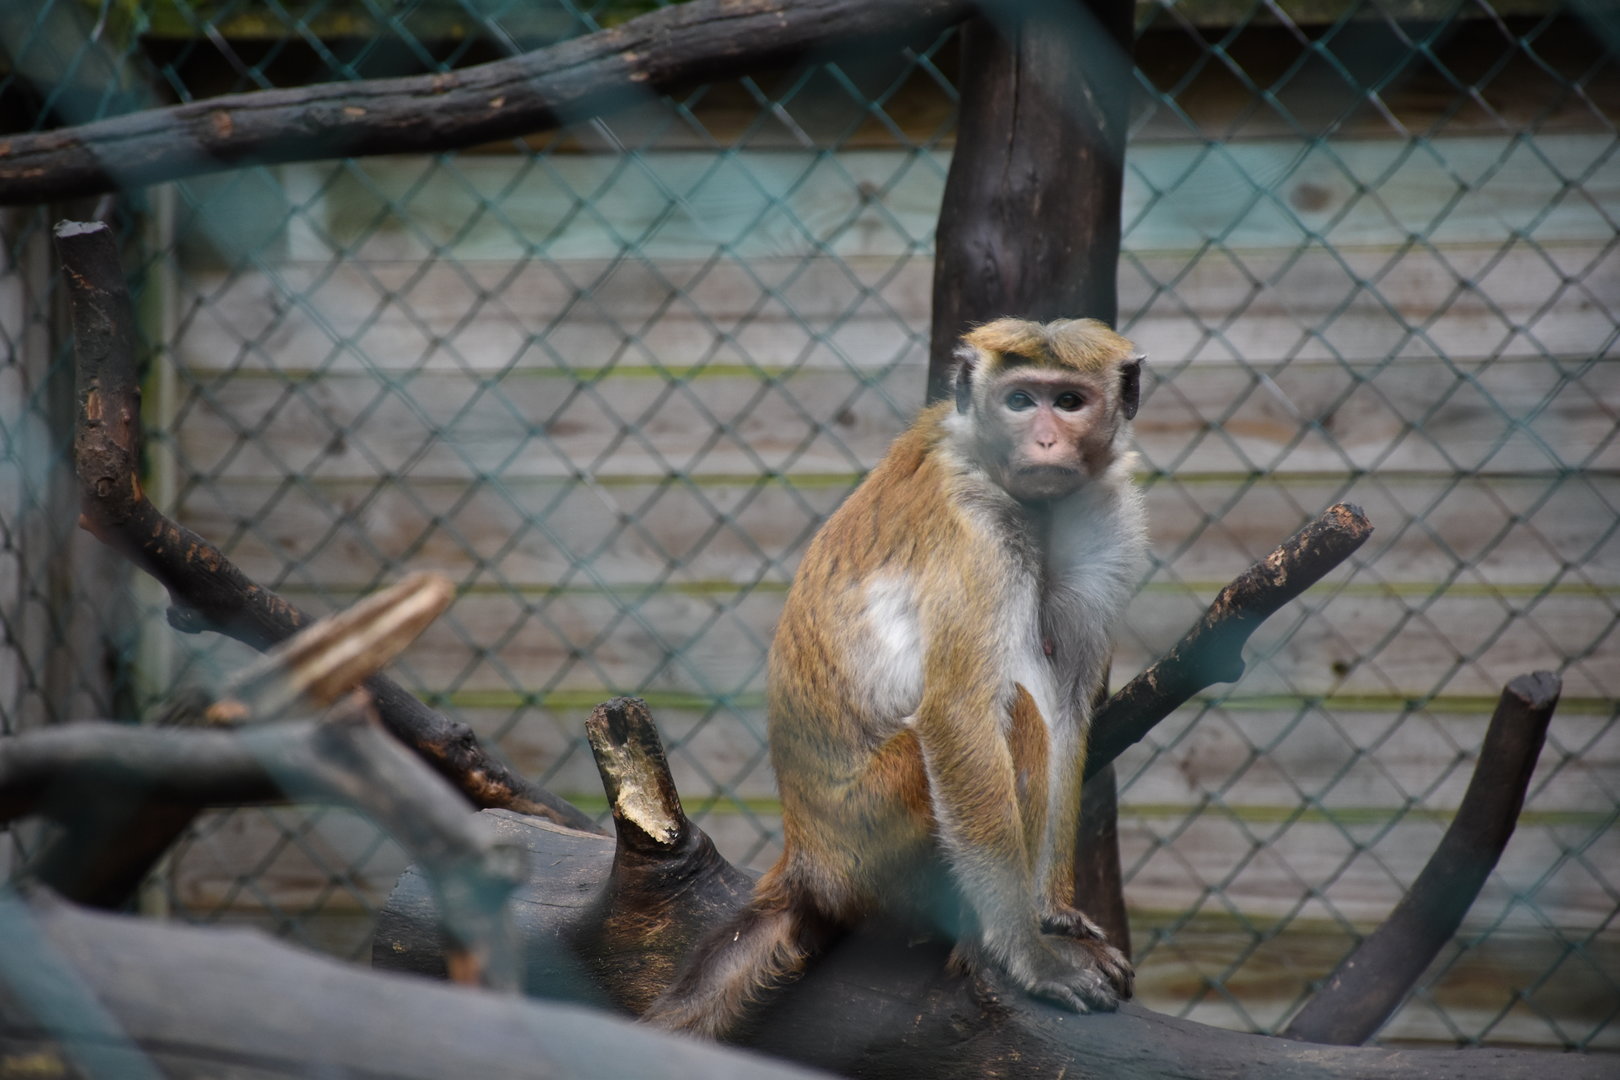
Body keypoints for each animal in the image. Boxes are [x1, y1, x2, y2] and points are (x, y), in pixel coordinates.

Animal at [641, 317, 1148, 1039]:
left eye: (1070, 402)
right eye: (1021, 401)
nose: (1045, 440)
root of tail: (807, 864)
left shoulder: (1105, 520)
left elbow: (1073, 708)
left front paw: (1052, 913)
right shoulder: (975, 533)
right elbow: (957, 712)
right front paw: (1027, 951)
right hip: (872, 837)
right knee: (1015, 712)